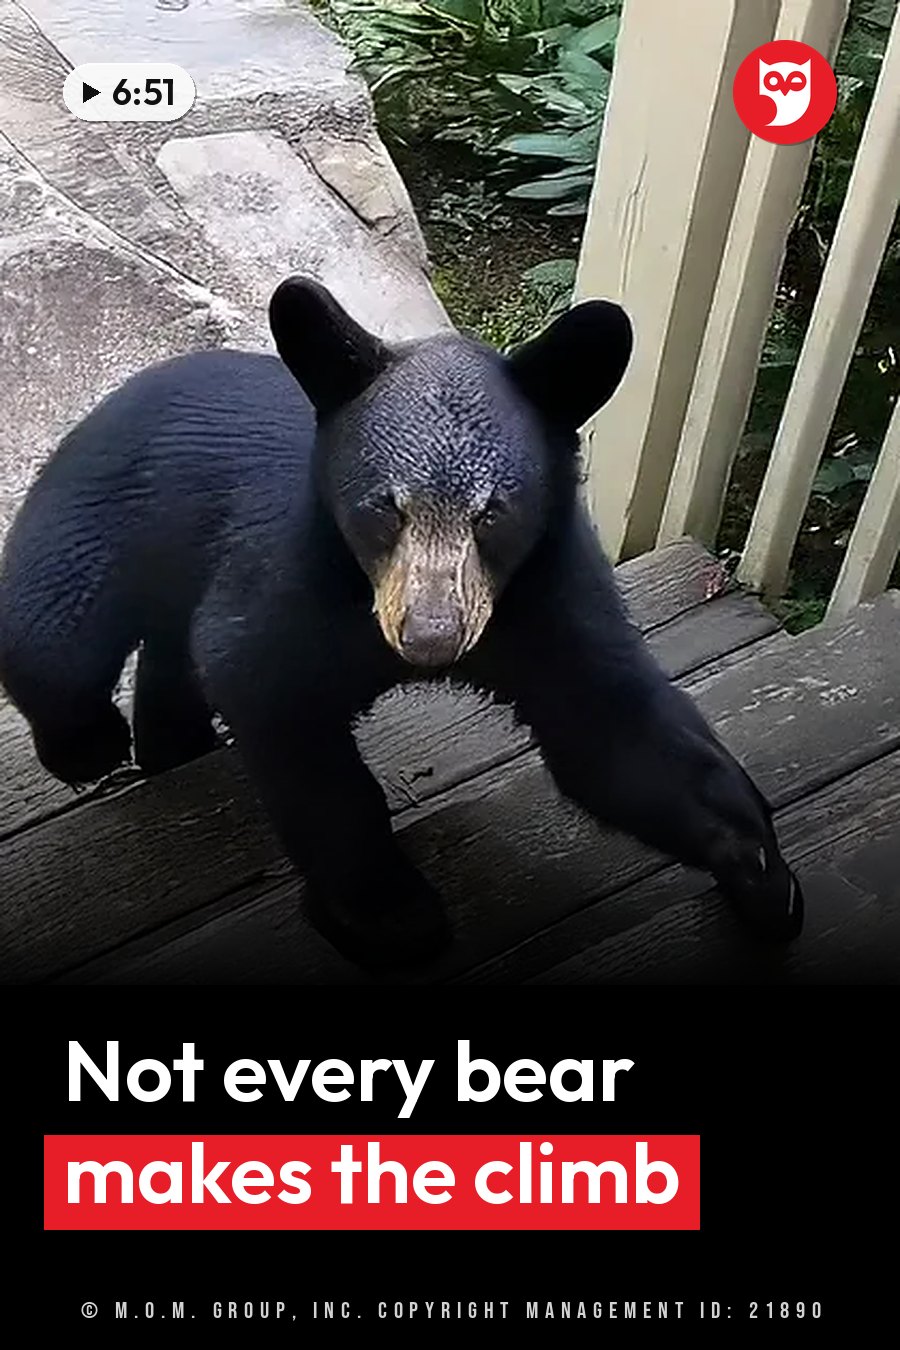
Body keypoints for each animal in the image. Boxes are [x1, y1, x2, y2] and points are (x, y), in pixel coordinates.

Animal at [0, 277, 802, 969]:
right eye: (383, 508)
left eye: (493, 513)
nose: (431, 638)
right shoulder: (294, 578)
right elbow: (274, 698)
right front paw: (390, 913)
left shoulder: (545, 597)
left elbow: (611, 731)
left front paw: (760, 869)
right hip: (100, 515)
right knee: (55, 635)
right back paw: (91, 744)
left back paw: (173, 742)